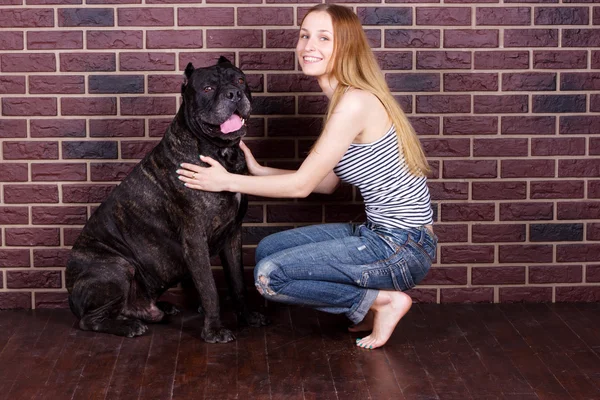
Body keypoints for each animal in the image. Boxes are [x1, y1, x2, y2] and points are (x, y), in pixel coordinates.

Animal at [65, 57, 268, 344]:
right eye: (207, 88)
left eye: (240, 80)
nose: (234, 94)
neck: (219, 151)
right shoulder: (195, 239)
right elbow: (210, 289)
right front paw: (214, 331)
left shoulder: (232, 235)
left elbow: (238, 282)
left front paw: (247, 317)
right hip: (116, 266)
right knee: (89, 320)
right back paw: (128, 326)